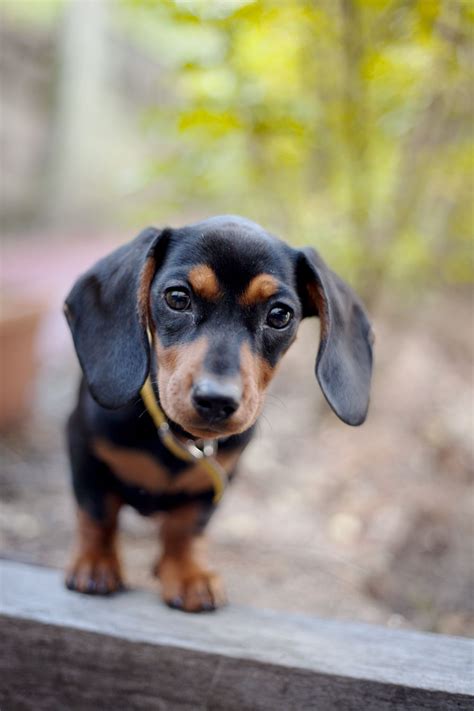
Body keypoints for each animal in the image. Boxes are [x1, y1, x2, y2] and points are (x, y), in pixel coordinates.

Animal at [64, 216, 374, 612]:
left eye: (280, 315)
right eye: (177, 297)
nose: (216, 400)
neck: (179, 439)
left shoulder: (217, 481)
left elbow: (185, 528)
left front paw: (187, 573)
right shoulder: (85, 451)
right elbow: (97, 514)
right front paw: (96, 562)